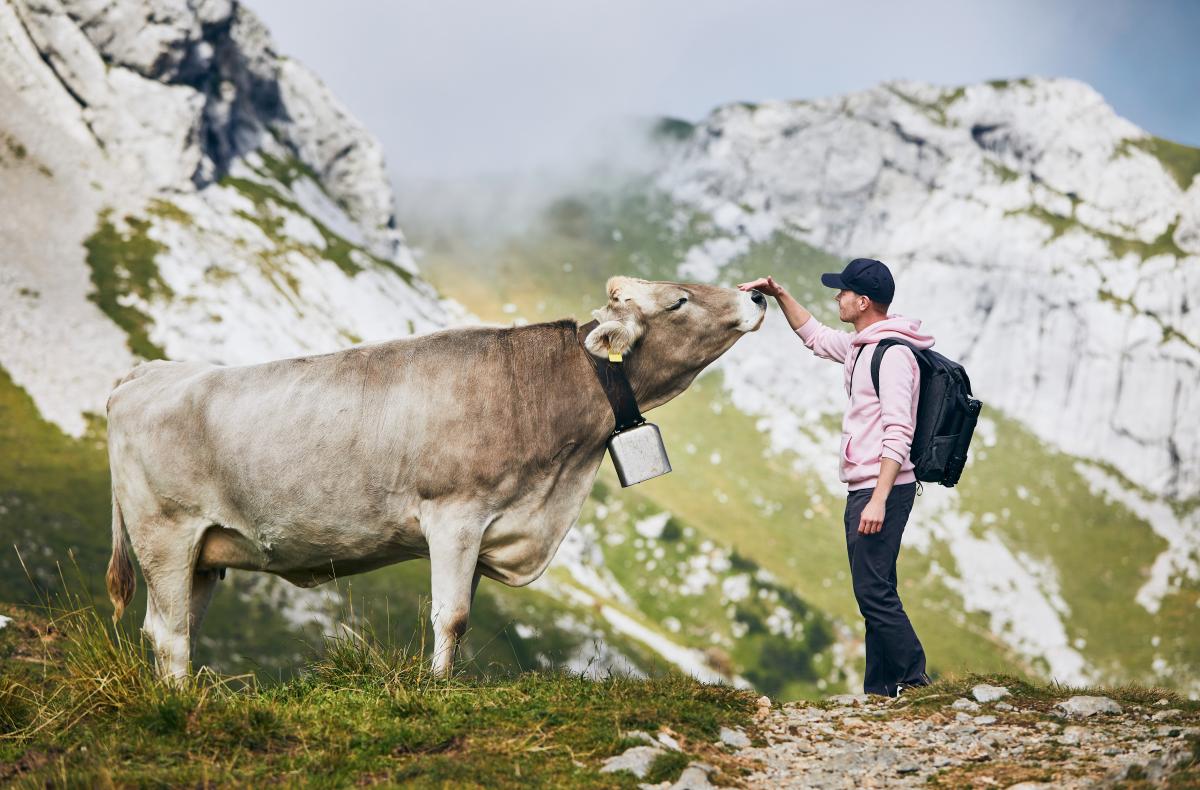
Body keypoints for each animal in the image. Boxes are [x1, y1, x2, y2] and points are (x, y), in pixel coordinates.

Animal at [105, 276, 767, 680]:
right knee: (168, 633)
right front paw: (438, 689)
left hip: (205, 554)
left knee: (176, 629)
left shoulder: (488, 527)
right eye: (679, 302)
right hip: (165, 536)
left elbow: (464, 615)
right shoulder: (454, 515)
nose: (756, 298)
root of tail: (145, 373)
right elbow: (450, 615)